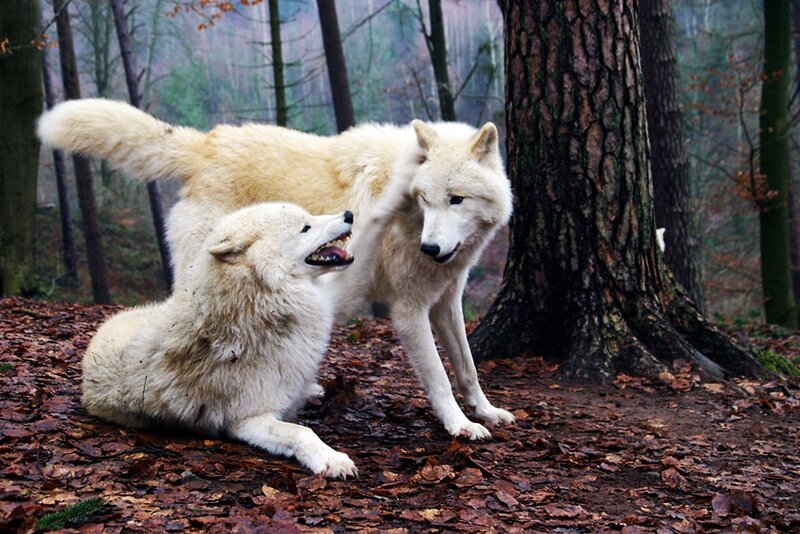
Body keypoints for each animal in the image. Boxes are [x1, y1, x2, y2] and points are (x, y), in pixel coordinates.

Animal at [39, 98, 515, 440]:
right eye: (424, 199)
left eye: (456, 199)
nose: (431, 247)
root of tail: (207, 142)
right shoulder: (408, 310)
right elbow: (437, 375)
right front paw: (460, 425)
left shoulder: (447, 299)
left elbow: (467, 365)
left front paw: (486, 410)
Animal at [82, 181, 409, 477]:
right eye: (305, 227)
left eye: (310, 217)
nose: (349, 214)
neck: (261, 301)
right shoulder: (248, 419)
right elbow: (302, 432)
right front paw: (331, 460)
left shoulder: (331, 295)